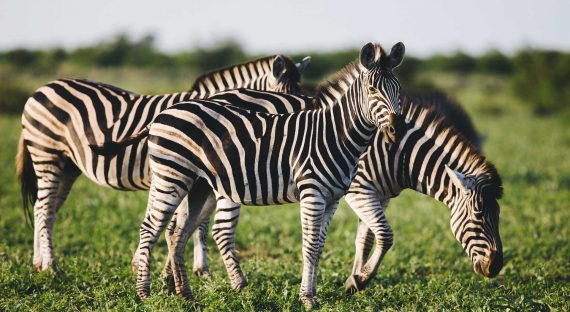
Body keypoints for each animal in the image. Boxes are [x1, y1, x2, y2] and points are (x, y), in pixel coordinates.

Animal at [16, 54, 310, 272]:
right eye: (287, 99)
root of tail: (42, 88)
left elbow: (194, 223)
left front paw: (191, 269)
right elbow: (192, 224)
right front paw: (192, 269)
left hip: (68, 165)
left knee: (45, 208)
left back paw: (39, 262)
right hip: (47, 155)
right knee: (43, 208)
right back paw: (50, 266)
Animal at [123, 42, 404, 308]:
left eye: (399, 91)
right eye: (372, 90)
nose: (396, 130)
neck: (334, 134)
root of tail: (164, 112)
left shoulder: (332, 199)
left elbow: (319, 248)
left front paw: (313, 295)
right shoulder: (312, 193)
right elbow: (310, 246)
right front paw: (307, 298)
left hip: (197, 185)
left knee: (176, 233)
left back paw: (185, 295)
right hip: (172, 175)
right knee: (150, 228)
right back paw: (144, 294)